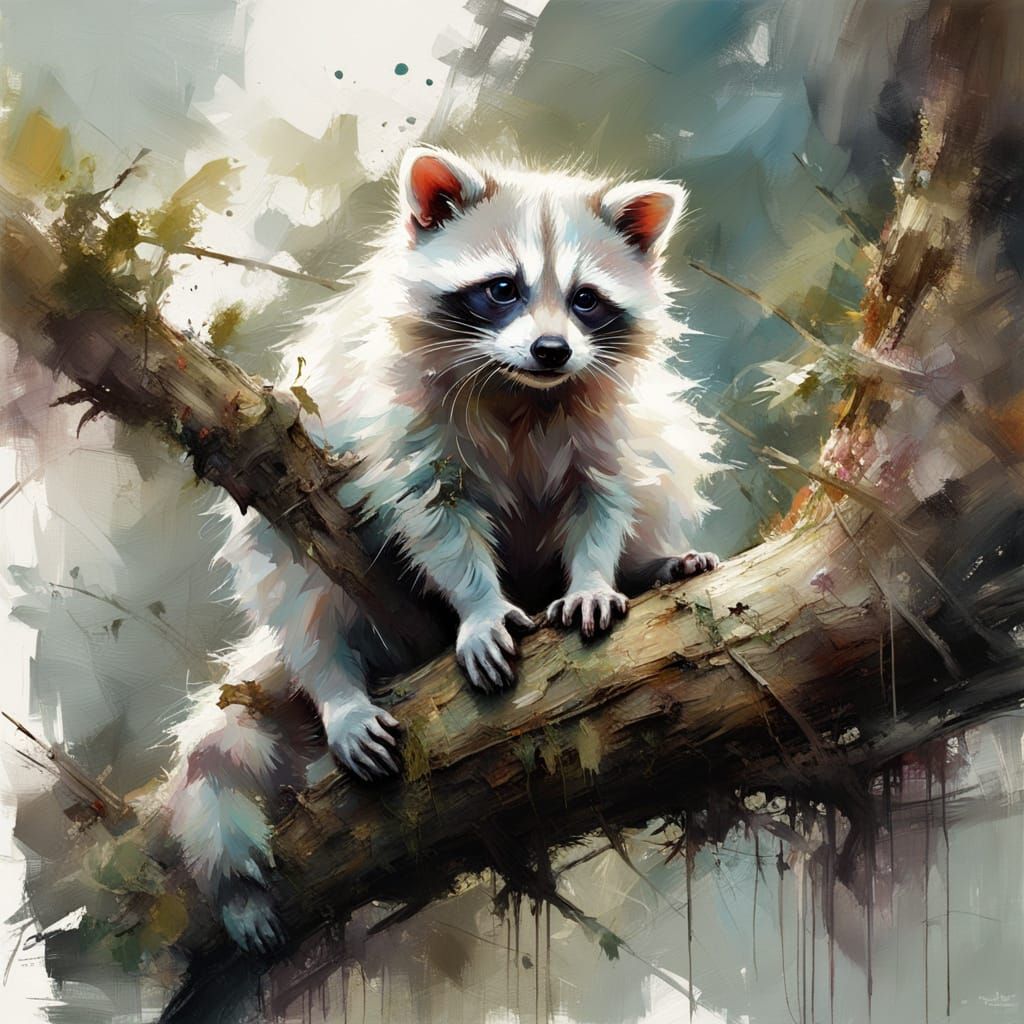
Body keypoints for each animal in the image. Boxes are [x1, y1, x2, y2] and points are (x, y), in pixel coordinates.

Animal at [162, 147, 720, 950]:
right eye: (502, 289)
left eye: (585, 300)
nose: (552, 349)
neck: (523, 390)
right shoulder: (401, 415)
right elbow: (432, 514)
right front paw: (479, 605)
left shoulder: (603, 415)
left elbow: (606, 495)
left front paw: (594, 574)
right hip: (292, 528)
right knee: (298, 590)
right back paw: (337, 687)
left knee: (662, 456)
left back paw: (656, 562)